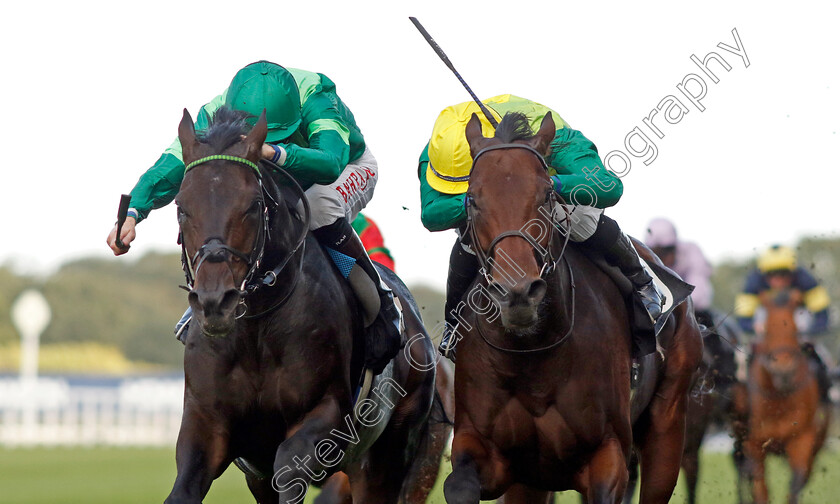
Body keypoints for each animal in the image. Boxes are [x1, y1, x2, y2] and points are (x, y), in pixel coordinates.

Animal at [167, 108, 436, 502]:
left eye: (252, 206)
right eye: (182, 207)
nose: (215, 301)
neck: (256, 330)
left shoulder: (327, 413)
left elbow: (289, 467)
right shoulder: (207, 423)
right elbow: (184, 487)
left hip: (384, 455)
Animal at [442, 111, 704, 504]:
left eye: (546, 194)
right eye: (472, 199)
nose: (517, 293)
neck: (532, 355)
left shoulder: (608, 453)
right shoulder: (487, 450)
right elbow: (458, 484)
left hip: (668, 423)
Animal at [736, 290, 828, 502]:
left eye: (794, 330)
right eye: (767, 331)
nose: (784, 371)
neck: (778, 401)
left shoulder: (802, 438)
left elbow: (795, 483)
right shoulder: (753, 443)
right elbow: (760, 487)